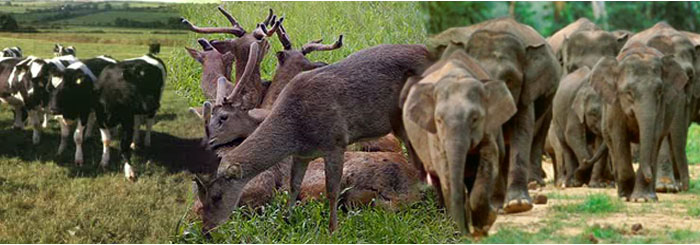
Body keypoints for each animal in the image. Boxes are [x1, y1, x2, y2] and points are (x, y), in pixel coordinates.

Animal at [402, 50, 516, 236]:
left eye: (475, 119)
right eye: (439, 120)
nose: (464, 233)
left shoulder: (488, 129)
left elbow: (489, 160)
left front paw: (485, 225)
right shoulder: (435, 136)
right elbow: (446, 172)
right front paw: (460, 234)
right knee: (437, 179)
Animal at [424, 17, 560, 212]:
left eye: (510, 80)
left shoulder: (526, 91)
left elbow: (522, 129)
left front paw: (518, 204)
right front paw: (495, 204)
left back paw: (531, 184)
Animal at [592, 42, 688, 202]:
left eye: (659, 92)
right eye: (629, 92)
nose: (649, 176)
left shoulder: (661, 106)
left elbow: (654, 136)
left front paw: (643, 199)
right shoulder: (615, 103)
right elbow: (618, 135)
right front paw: (626, 196)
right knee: (612, 142)